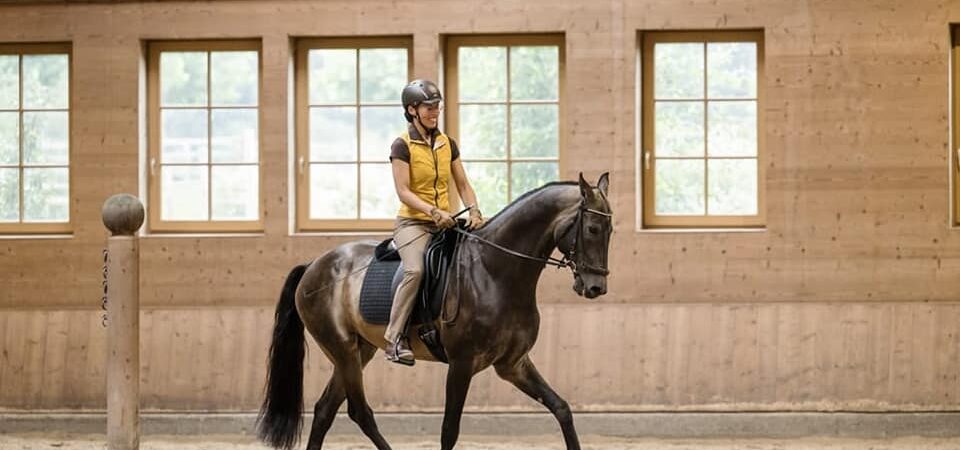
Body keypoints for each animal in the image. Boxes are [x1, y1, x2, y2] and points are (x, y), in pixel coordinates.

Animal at [258, 172, 612, 450]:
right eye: (593, 229)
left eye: (610, 231)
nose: (596, 287)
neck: (495, 271)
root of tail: (314, 265)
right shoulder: (461, 364)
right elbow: (448, 432)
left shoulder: (513, 364)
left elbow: (562, 408)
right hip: (342, 348)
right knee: (360, 413)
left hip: (359, 351)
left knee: (324, 411)